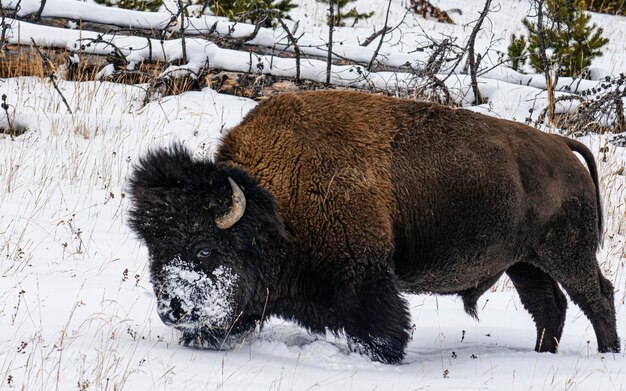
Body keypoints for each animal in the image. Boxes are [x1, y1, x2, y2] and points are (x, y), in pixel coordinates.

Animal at [128, 89, 620, 364]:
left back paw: (607, 354)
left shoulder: (364, 275)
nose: (171, 309)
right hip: (525, 263)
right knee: (549, 306)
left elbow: (382, 328)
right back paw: (544, 356)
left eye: (204, 248)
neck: (277, 203)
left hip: (565, 254)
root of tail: (559, 144)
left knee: (596, 296)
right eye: (153, 247)